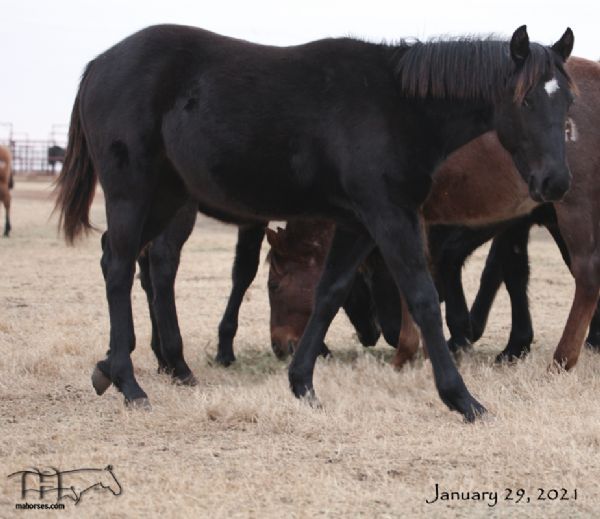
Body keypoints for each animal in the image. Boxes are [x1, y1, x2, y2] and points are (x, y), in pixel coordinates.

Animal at [57, 25, 576, 422]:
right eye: (525, 101)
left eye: (568, 100)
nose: (555, 181)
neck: (397, 107)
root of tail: (99, 64)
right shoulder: (391, 215)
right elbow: (424, 298)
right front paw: (462, 398)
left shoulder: (359, 224)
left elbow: (329, 293)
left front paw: (302, 384)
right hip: (134, 191)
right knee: (121, 267)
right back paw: (130, 383)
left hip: (167, 197)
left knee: (120, 258)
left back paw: (116, 367)